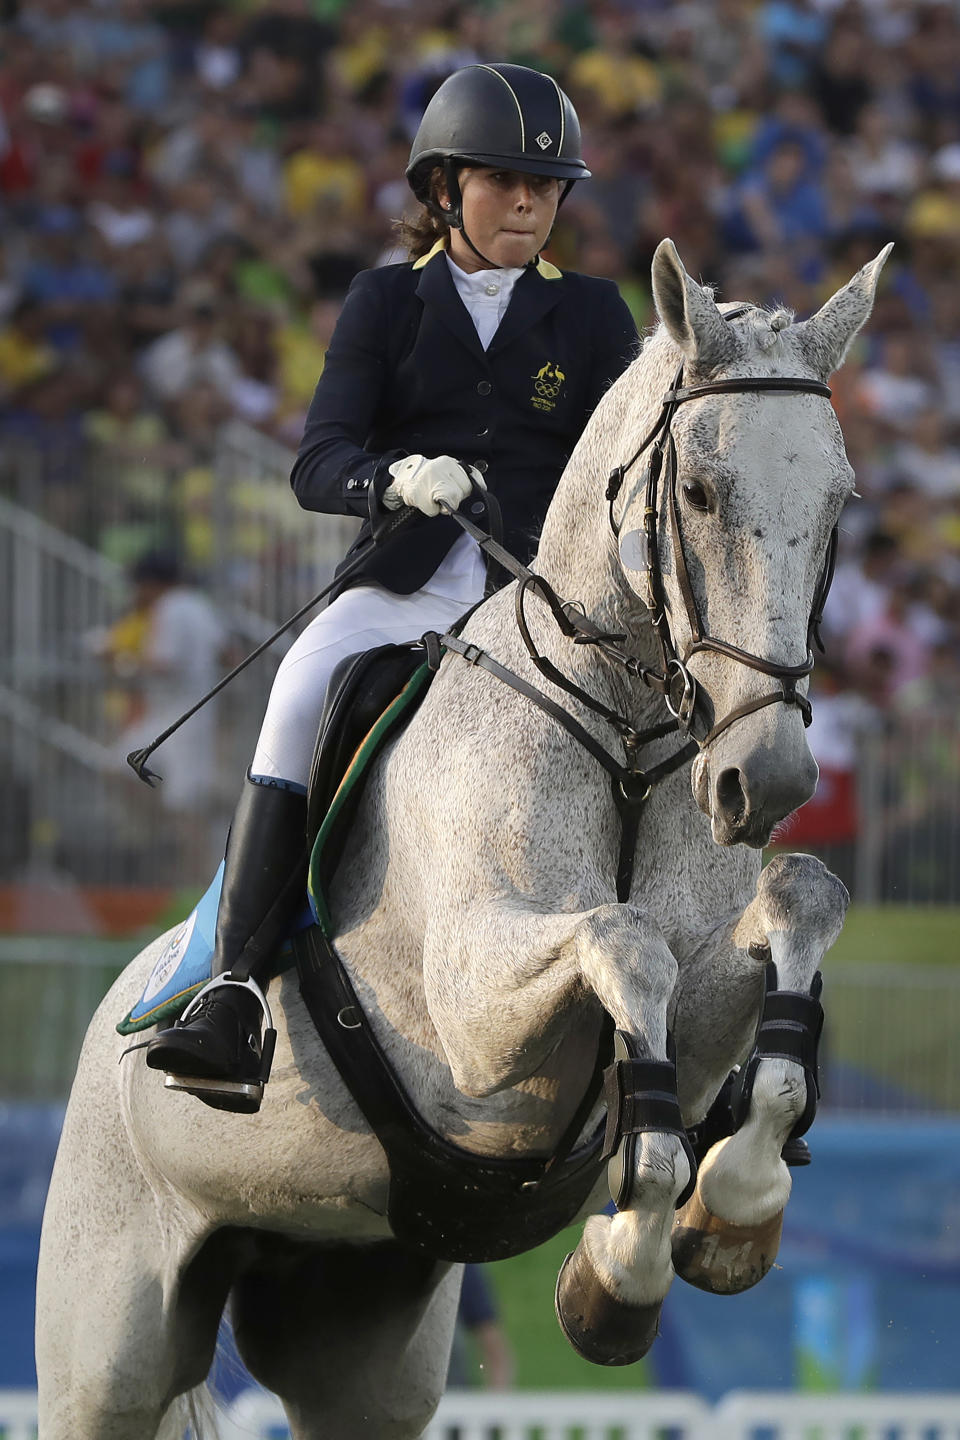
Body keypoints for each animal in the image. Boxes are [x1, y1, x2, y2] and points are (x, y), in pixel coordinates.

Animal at [37, 241, 892, 1434]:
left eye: (839, 500)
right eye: (700, 491)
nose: (762, 780)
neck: (626, 747)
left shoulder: (704, 1004)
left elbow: (801, 902)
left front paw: (730, 1210)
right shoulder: (472, 1026)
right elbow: (624, 941)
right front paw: (621, 1274)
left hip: (355, 1326)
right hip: (106, 1344)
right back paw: (208, 1026)